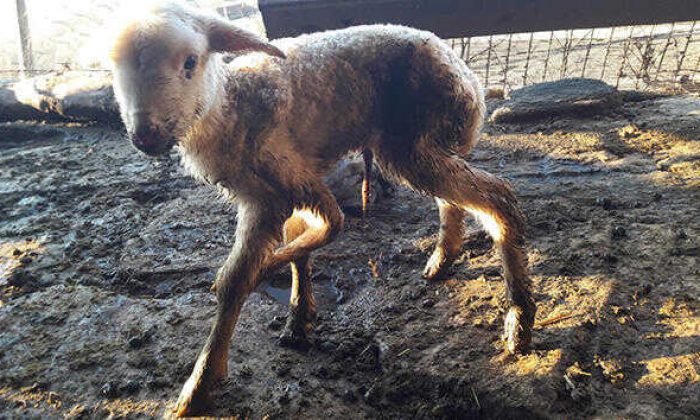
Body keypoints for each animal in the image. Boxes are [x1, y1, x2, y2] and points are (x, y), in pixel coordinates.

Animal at [108, 0, 536, 414]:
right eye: (114, 69)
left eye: (190, 62)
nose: (145, 136)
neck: (230, 106)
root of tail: (466, 75)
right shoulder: (279, 194)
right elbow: (303, 249)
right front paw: (299, 317)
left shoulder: (280, 189)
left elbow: (255, 269)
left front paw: (200, 383)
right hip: (419, 144)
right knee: (454, 199)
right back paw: (443, 259)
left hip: (417, 140)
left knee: (498, 198)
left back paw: (519, 320)